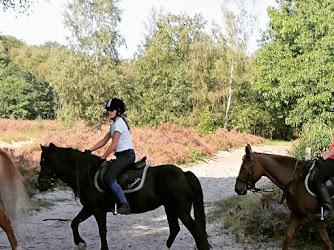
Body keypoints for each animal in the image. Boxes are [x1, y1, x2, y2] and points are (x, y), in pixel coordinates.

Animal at [37, 143, 211, 250]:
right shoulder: (89, 208)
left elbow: (102, 231)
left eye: (45, 162)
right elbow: (74, 223)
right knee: (175, 229)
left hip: (181, 210)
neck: (88, 174)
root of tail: (184, 174)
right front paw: (80, 243)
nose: (40, 185)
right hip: (170, 208)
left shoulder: (98, 210)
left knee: (196, 231)